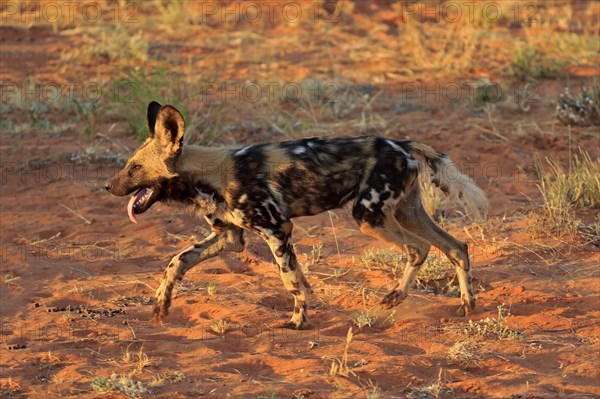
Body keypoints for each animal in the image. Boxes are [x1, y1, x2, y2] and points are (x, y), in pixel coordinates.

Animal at [104, 101, 488, 330]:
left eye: (134, 168)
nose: (107, 186)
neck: (206, 176)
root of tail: (403, 145)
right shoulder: (230, 237)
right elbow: (177, 261)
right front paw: (161, 304)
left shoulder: (277, 229)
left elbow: (290, 280)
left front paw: (298, 320)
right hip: (405, 212)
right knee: (455, 247)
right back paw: (466, 305)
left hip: (369, 215)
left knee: (418, 248)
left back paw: (396, 296)